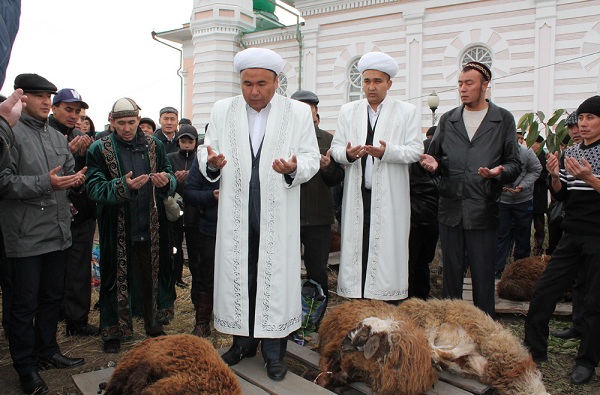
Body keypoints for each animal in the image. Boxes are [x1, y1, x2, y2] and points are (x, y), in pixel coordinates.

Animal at [398, 300, 548, 395]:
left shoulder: (472, 361)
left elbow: (451, 359)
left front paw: (439, 357)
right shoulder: (473, 342)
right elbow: (450, 353)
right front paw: (437, 354)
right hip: (432, 320)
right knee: (428, 337)